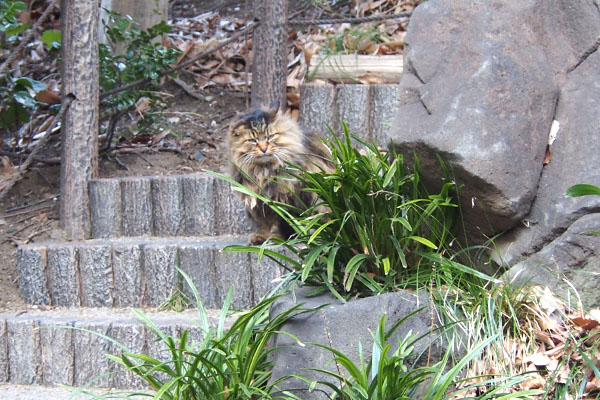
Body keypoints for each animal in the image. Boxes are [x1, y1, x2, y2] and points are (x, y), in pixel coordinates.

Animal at [226, 100, 330, 244]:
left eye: (270, 136)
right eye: (253, 140)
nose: (264, 149)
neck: (262, 172)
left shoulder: (284, 201)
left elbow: (279, 223)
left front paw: (275, 237)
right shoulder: (257, 204)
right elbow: (263, 224)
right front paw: (260, 237)